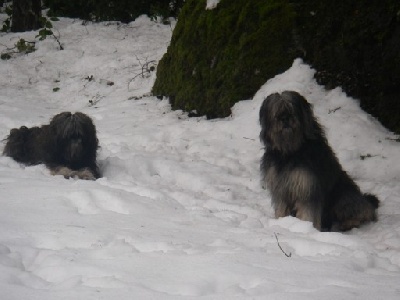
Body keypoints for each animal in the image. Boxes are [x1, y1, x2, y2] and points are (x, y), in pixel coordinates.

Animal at [260, 90, 378, 231]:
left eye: (291, 108)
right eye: (277, 110)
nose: (285, 119)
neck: (291, 151)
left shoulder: (307, 189)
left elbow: (307, 213)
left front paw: (305, 228)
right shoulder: (281, 190)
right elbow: (281, 209)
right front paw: (282, 222)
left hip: (343, 196)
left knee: (365, 211)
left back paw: (348, 223)